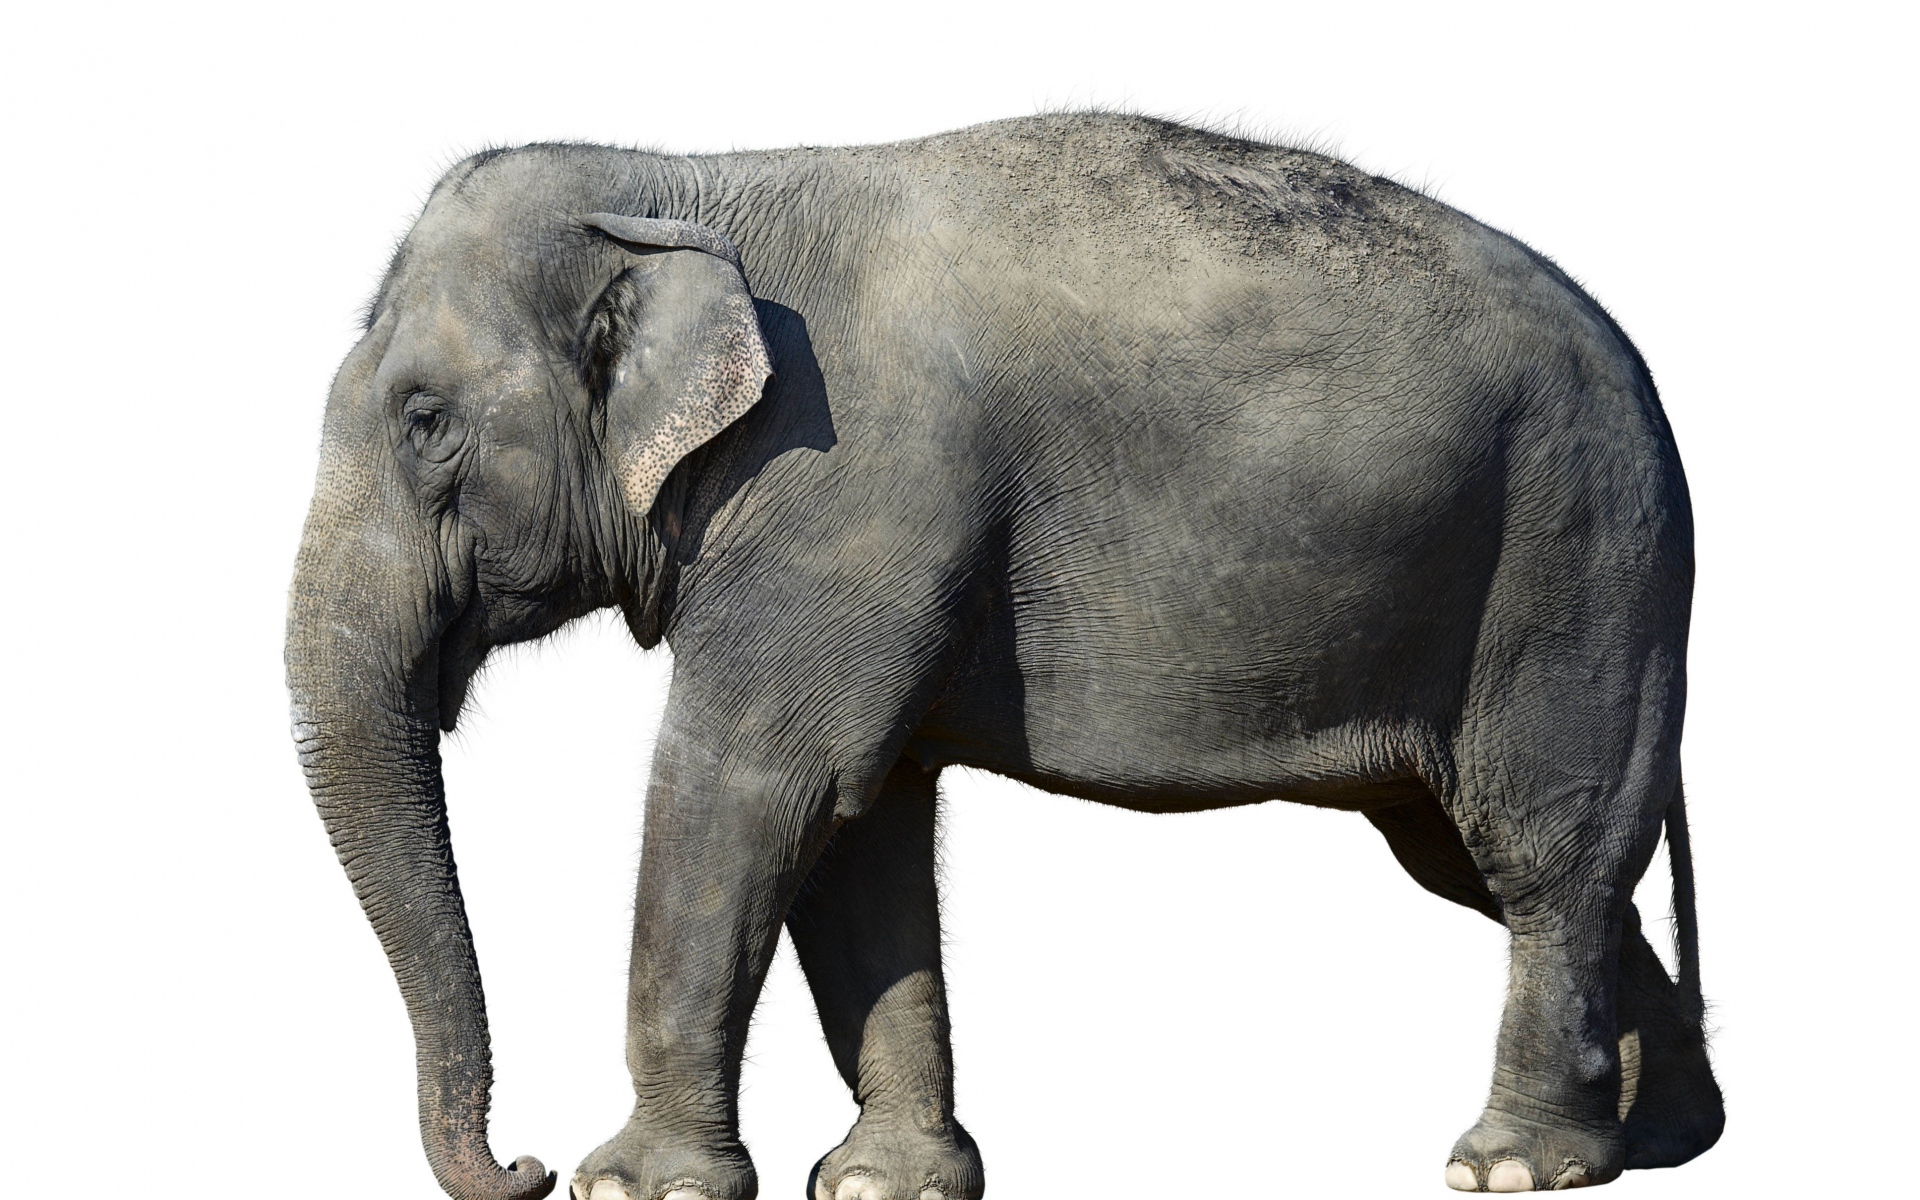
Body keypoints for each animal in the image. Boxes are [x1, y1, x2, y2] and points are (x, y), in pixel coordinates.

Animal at [286, 112, 1724, 1199]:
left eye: (425, 421)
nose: (519, 1165)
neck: (685, 180)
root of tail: (1640, 368)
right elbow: (862, 833)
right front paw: (885, 1185)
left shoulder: (842, 487)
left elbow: (754, 789)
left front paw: (637, 1187)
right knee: (1491, 856)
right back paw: (1657, 1140)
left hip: (1574, 556)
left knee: (1540, 847)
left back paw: (1514, 1165)